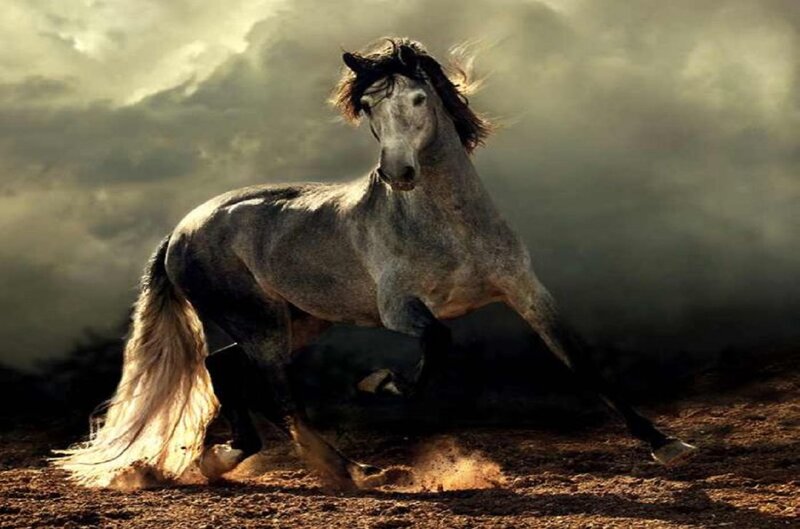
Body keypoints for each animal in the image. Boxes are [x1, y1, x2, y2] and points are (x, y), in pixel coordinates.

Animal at [54, 38, 696, 490]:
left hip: (298, 320)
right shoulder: (399, 309)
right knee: (278, 392)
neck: (450, 226)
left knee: (223, 366)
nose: (398, 173)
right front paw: (379, 383)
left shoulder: (527, 293)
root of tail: (181, 229)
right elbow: (437, 342)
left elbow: (581, 362)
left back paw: (238, 458)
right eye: (366, 106)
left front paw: (665, 444)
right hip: (261, 322)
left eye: (418, 99)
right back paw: (347, 471)